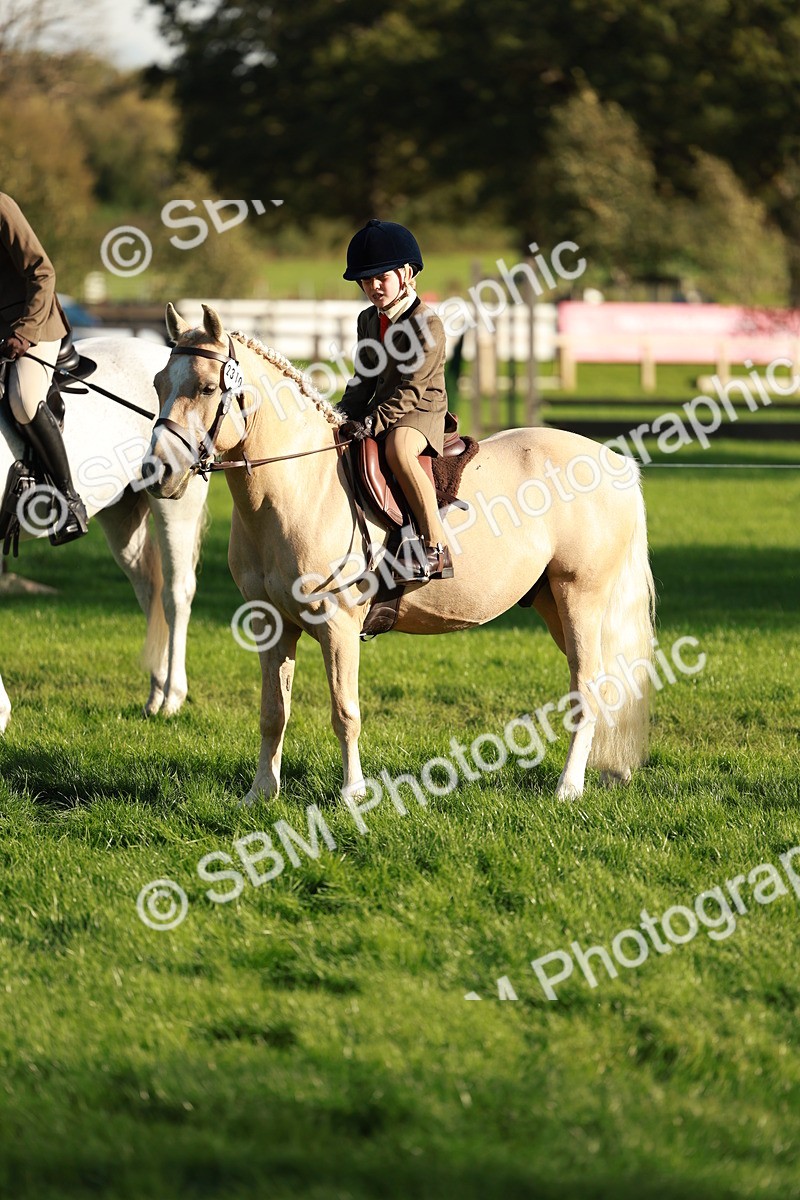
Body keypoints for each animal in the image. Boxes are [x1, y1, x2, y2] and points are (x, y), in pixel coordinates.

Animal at [0, 336, 208, 734]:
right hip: (122, 518)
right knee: (150, 591)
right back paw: (155, 694)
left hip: (175, 506)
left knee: (176, 594)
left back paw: (172, 697)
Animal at [147, 303, 656, 804]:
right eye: (158, 384)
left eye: (207, 387)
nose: (159, 472)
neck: (300, 486)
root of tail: (613, 461)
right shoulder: (270, 624)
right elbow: (274, 711)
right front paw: (260, 794)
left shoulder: (338, 625)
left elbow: (345, 713)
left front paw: (353, 795)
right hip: (554, 604)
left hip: (580, 598)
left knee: (587, 689)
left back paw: (568, 787)